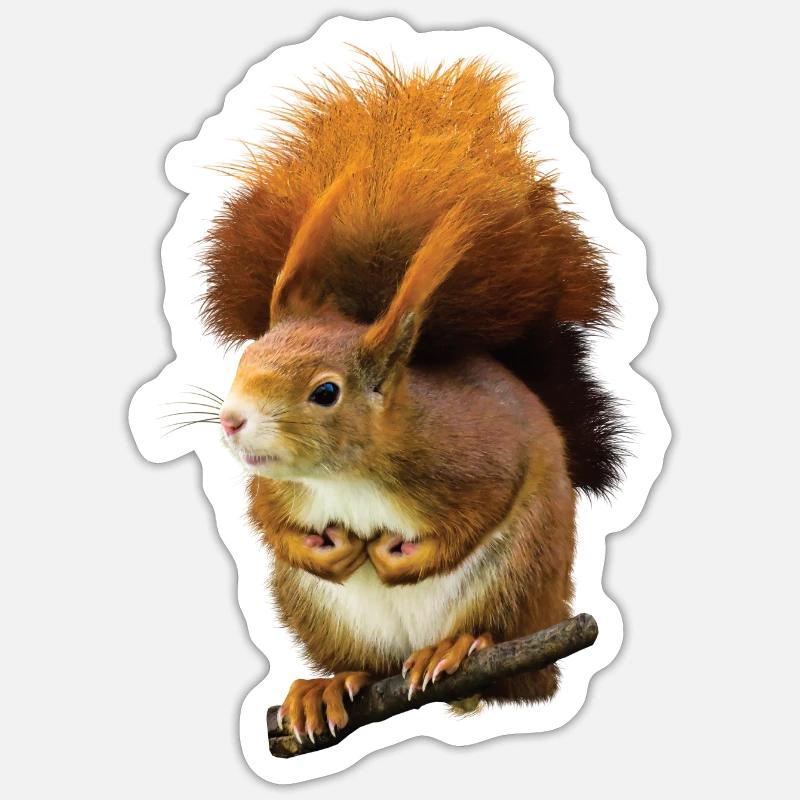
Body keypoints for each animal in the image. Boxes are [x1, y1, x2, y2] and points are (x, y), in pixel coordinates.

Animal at [200, 55, 625, 742]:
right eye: (246, 358)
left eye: (326, 392)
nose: (233, 422)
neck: (345, 474)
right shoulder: (276, 488)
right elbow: (268, 521)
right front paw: (327, 551)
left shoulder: (475, 454)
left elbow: (480, 508)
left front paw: (398, 558)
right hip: (320, 614)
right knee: (366, 665)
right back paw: (327, 686)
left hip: (518, 579)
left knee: (508, 664)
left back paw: (456, 650)